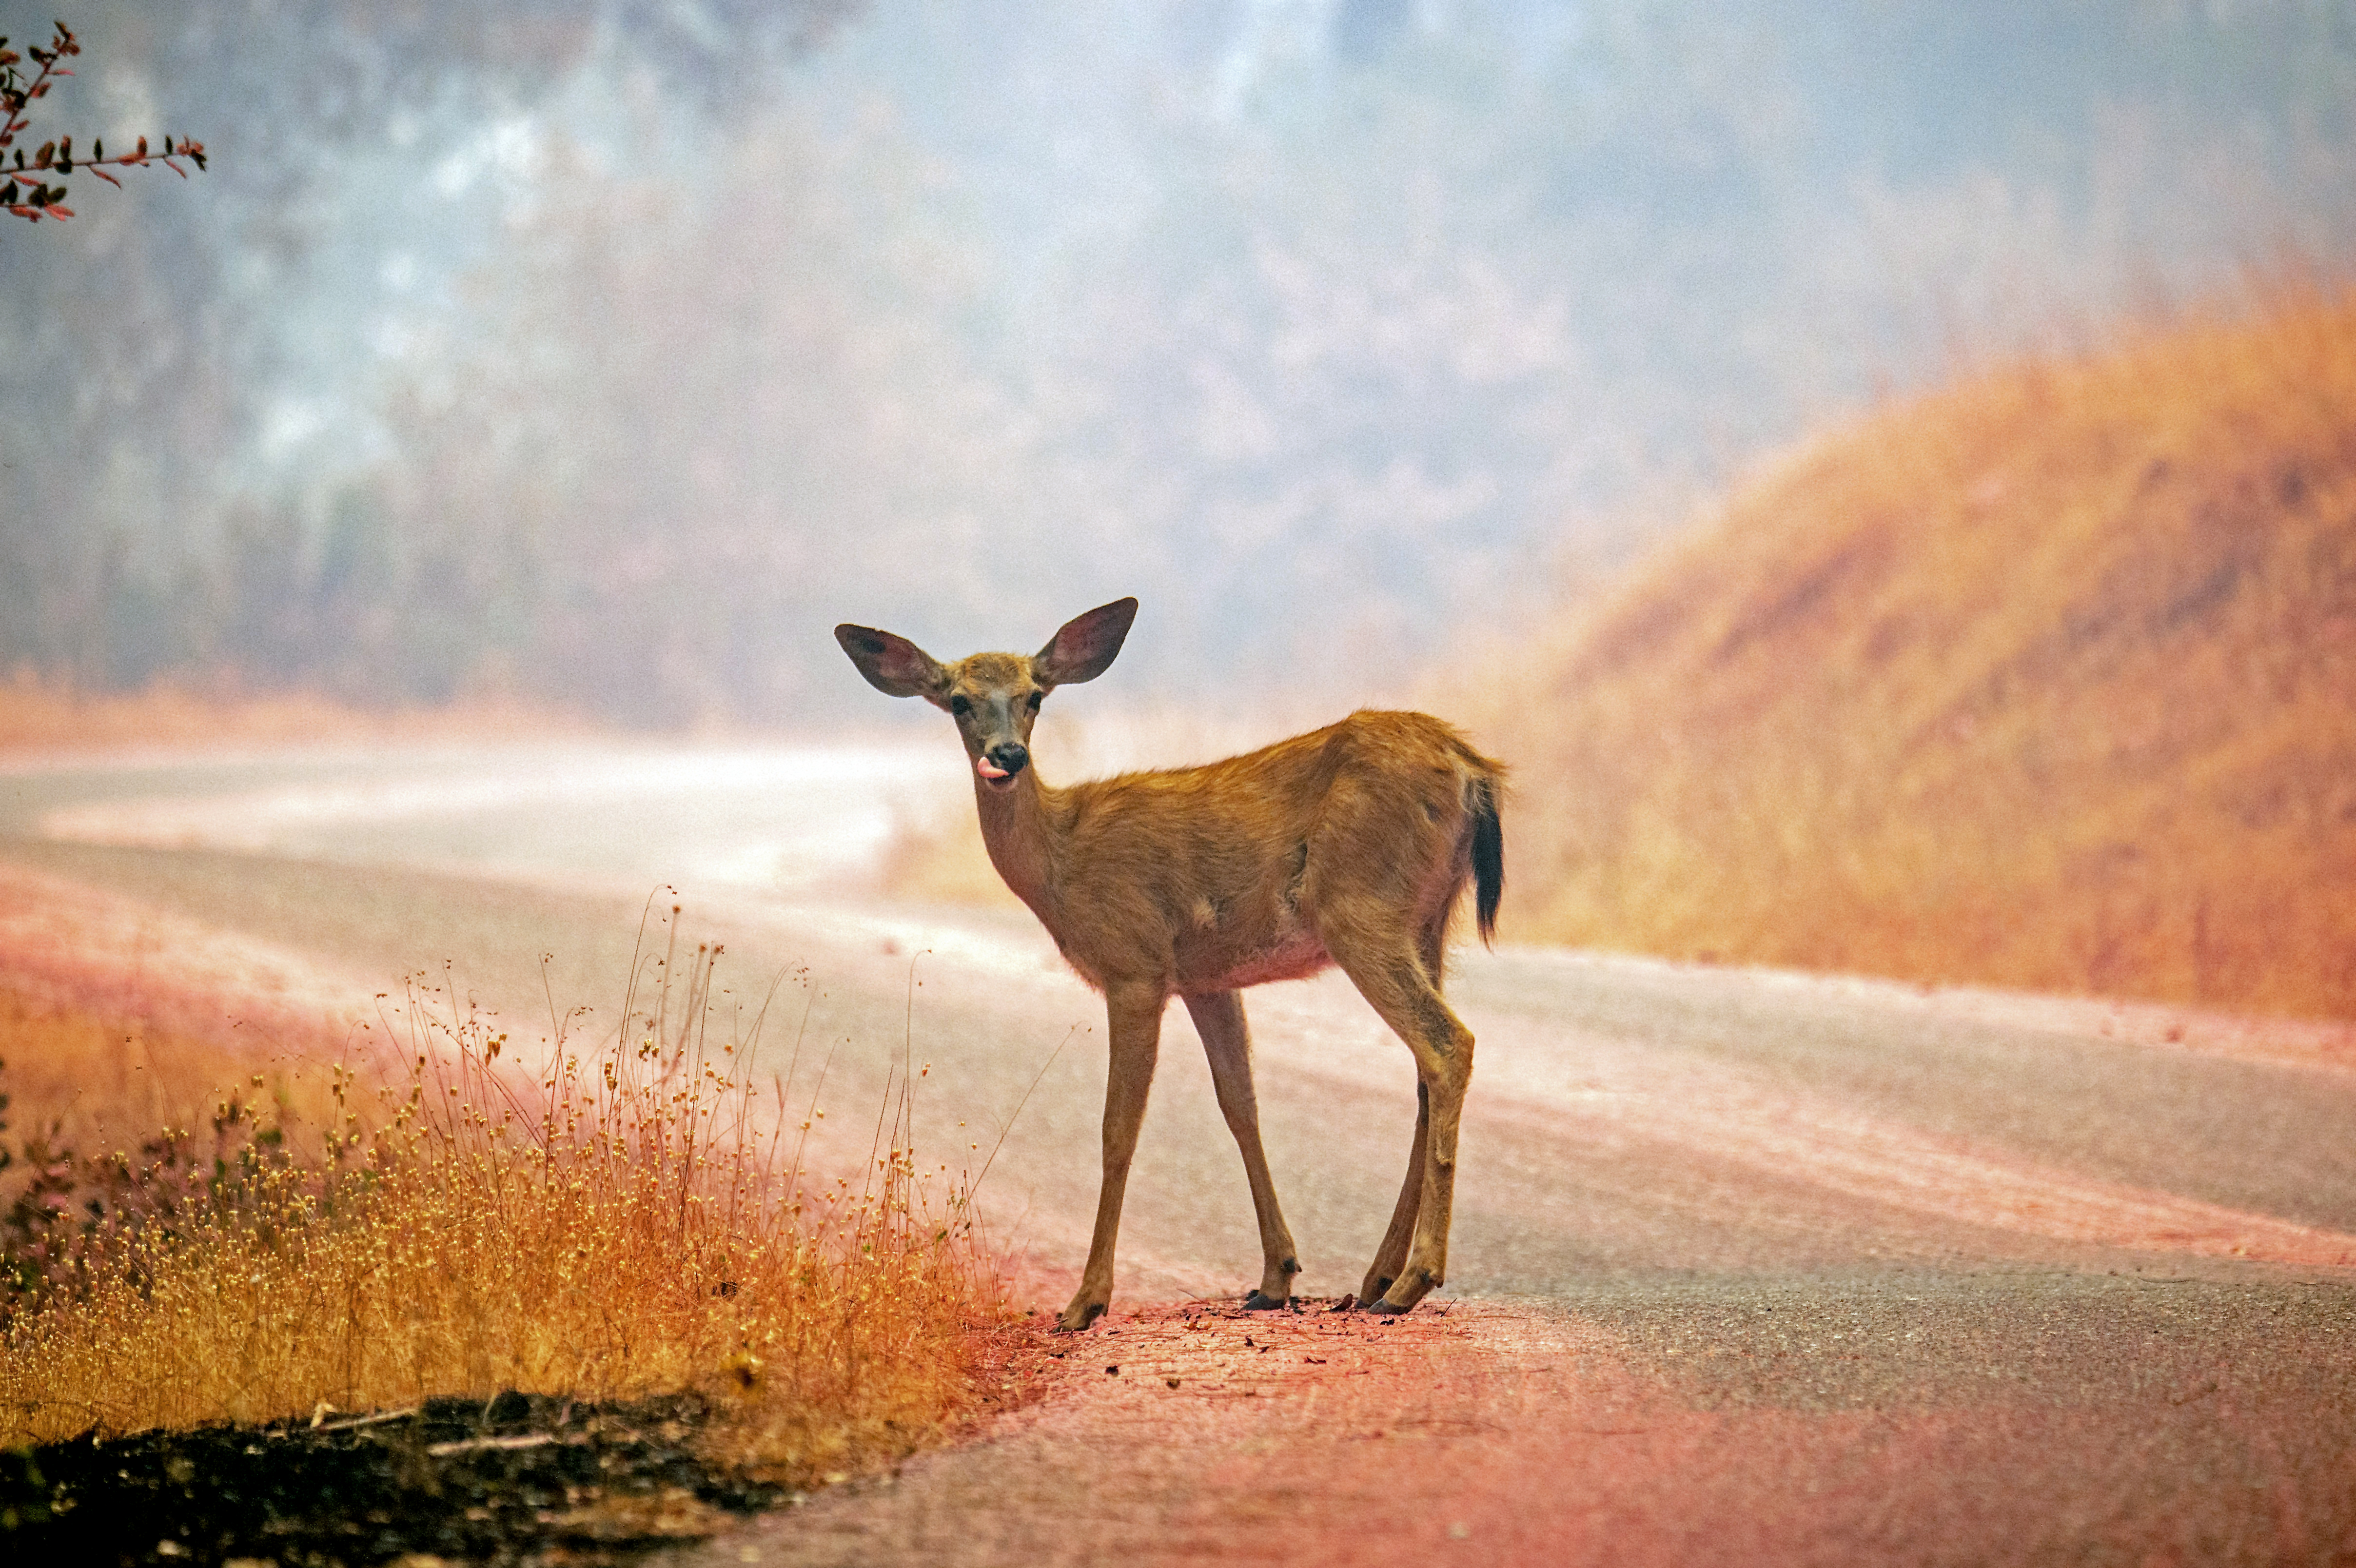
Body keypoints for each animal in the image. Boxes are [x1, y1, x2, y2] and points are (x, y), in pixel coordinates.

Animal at [839, 593, 1498, 1328]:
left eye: (1034, 695)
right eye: (958, 701)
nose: (1006, 755)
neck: (1062, 864)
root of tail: (1471, 768)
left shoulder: (1135, 965)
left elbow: (1117, 1129)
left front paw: (1086, 1300)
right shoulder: (1207, 979)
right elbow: (1240, 1105)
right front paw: (1275, 1276)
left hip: (1361, 911)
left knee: (1449, 1044)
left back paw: (1412, 1280)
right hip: (1428, 922)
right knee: (1424, 1073)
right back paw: (1376, 1276)